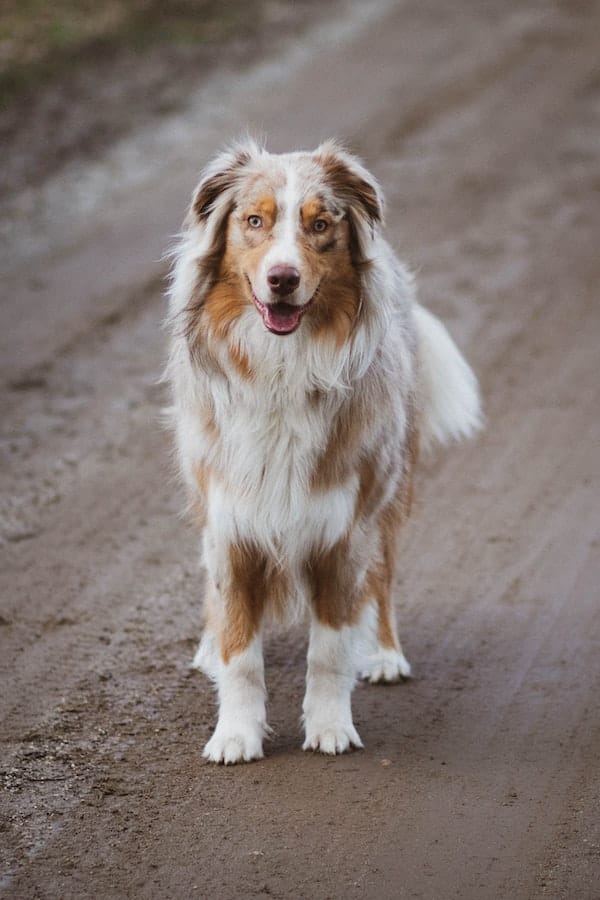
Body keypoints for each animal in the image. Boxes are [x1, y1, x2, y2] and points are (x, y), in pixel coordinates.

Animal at [165, 137, 482, 764]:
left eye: (320, 225)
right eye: (254, 221)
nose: (283, 278)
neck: (281, 369)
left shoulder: (341, 528)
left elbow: (330, 649)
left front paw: (331, 728)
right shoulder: (231, 524)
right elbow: (241, 652)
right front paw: (234, 734)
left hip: (388, 491)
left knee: (381, 580)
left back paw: (383, 654)